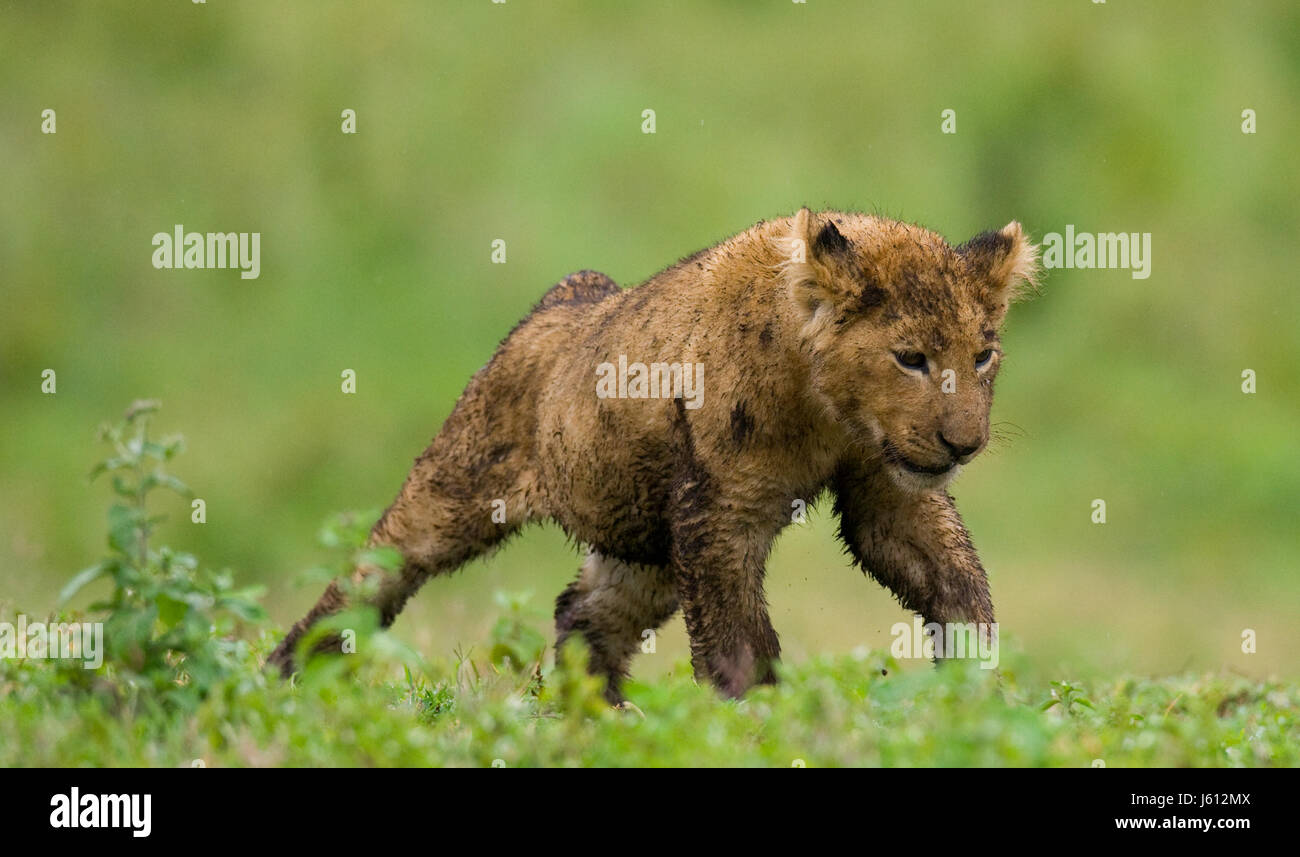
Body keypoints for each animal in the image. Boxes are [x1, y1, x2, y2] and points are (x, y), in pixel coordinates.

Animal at [268, 208, 1039, 700]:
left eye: (983, 354)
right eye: (910, 358)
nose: (964, 443)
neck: (829, 412)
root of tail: (567, 299)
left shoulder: (888, 487)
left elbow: (958, 585)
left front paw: (976, 692)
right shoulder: (719, 518)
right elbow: (738, 643)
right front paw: (759, 723)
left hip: (646, 541)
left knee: (583, 612)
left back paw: (596, 717)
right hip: (456, 490)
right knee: (368, 577)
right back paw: (284, 676)